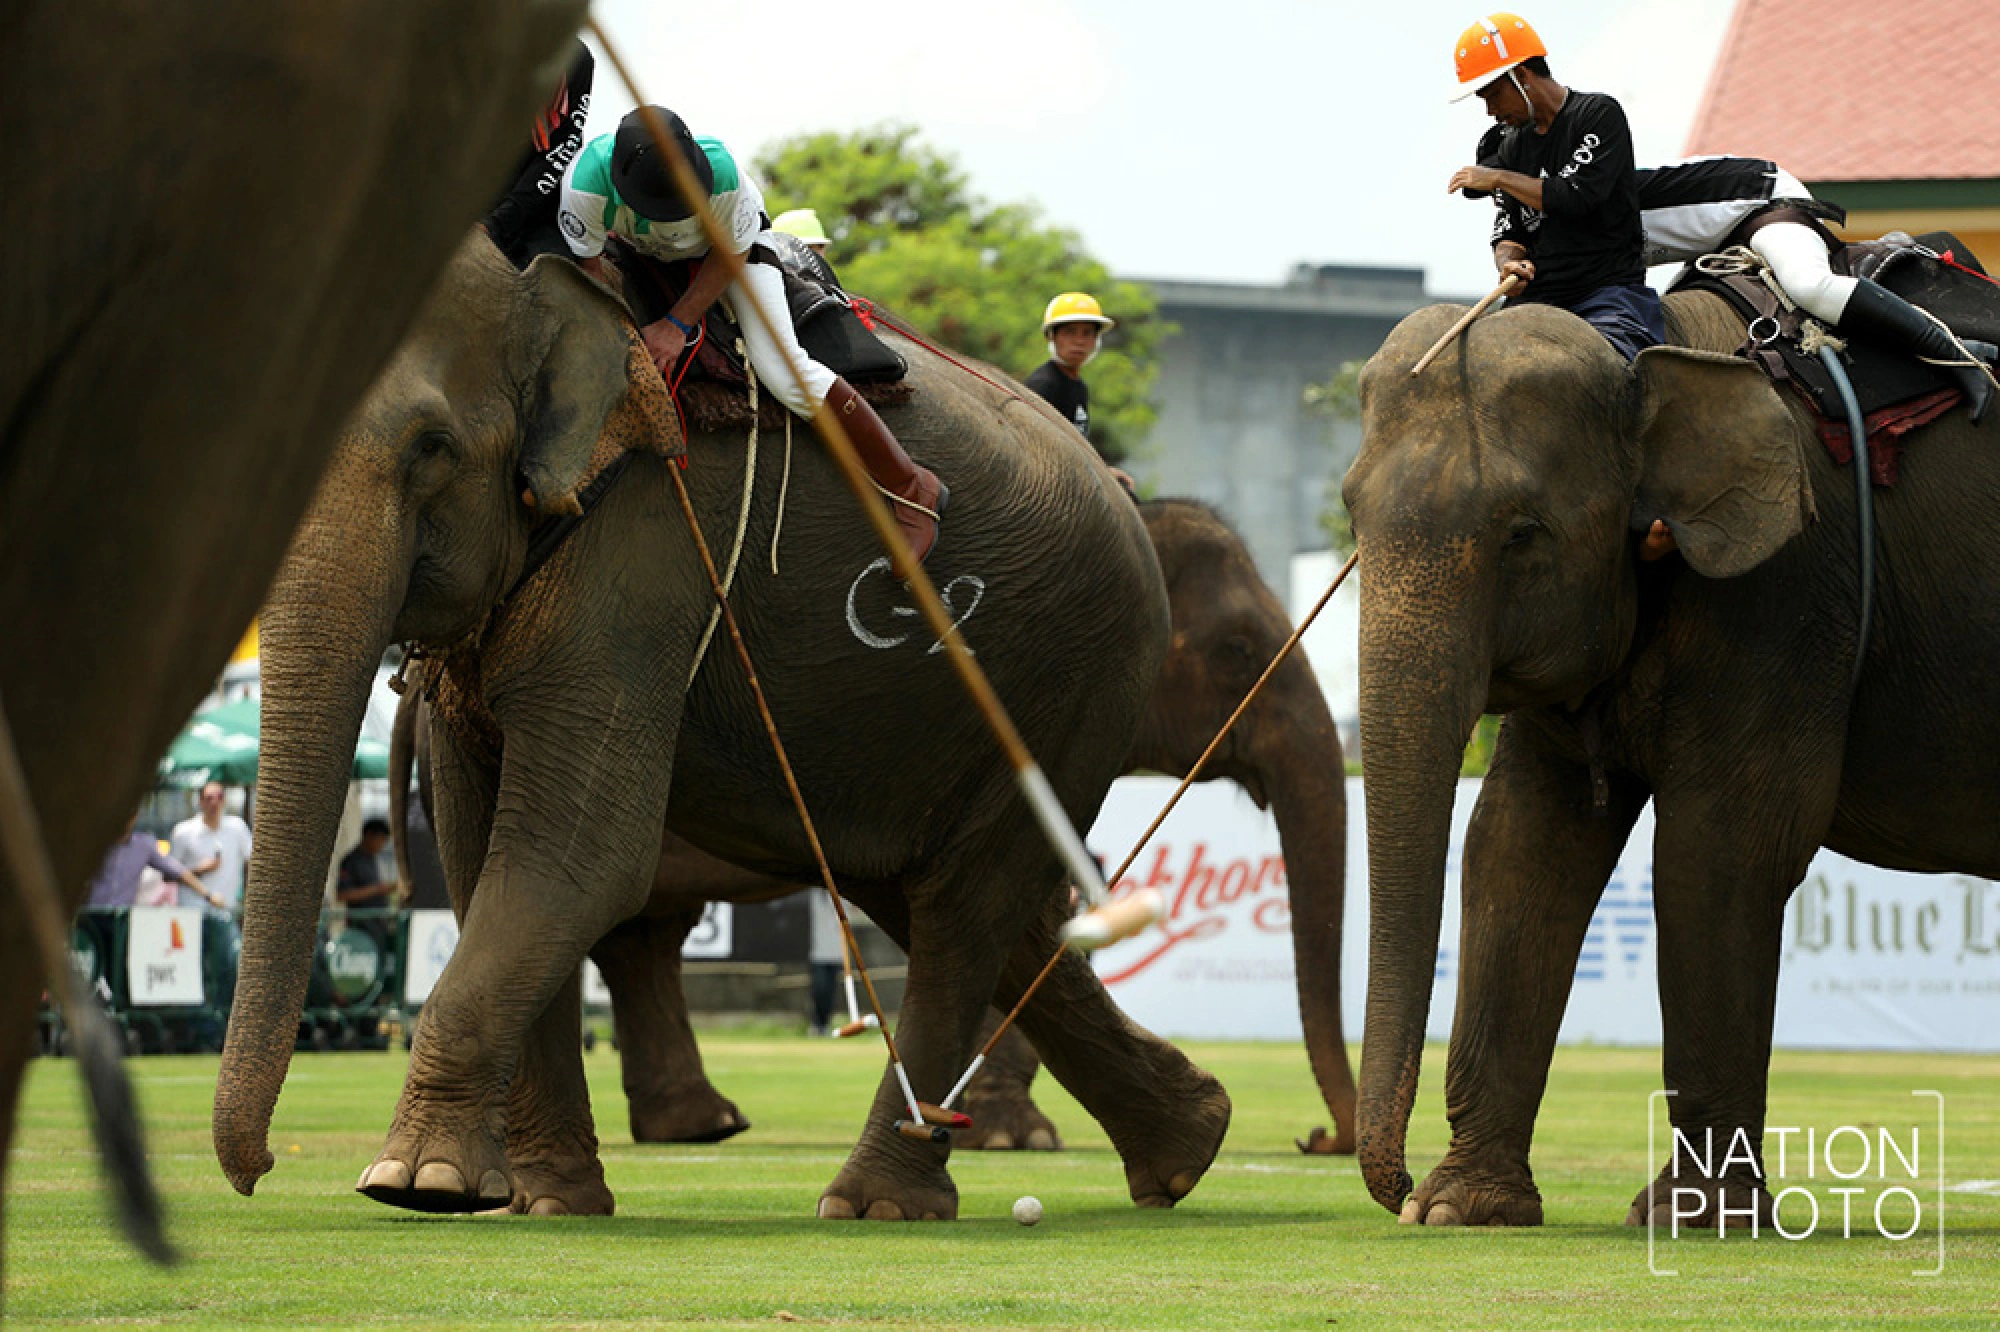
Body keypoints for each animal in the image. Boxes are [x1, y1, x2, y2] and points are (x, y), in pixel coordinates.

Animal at [214, 236, 1234, 1222]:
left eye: (430, 447)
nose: (259, 1172)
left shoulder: (642, 553)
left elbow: (575, 857)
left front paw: (411, 1181)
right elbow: (477, 857)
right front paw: (534, 1202)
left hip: (1076, 682)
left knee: (963, 911)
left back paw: (877, 1203)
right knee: (945, 895)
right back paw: (1190, 1145)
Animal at [1342, 286, 2000, 1228]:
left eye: (1522, 535)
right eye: (1350, 515)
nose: (1393, 1189)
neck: (1666, 355)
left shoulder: (1785, 595)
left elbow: (1720, 851)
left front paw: (1697, 1218)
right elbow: (1519, 842)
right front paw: (1462, 1209)